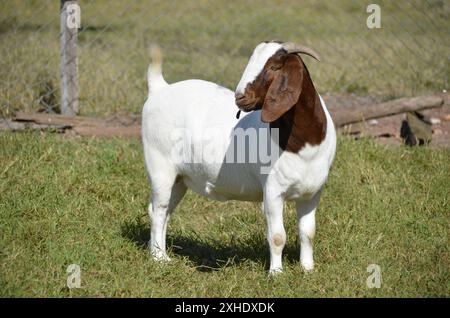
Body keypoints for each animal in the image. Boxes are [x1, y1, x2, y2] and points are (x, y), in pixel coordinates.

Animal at [142, 41, 336, 274]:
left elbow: (308, 233)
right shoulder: (272, 190)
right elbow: (277, 236)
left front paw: (307, 270)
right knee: (159, 210)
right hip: (160, 167)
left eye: (274, 67)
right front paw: (276, 273)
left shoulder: (312, 192)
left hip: (180, 179)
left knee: (163, 211)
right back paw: (159, 258)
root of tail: (160, 89)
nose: (240, 97)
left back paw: (161, 253)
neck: (303, 143)